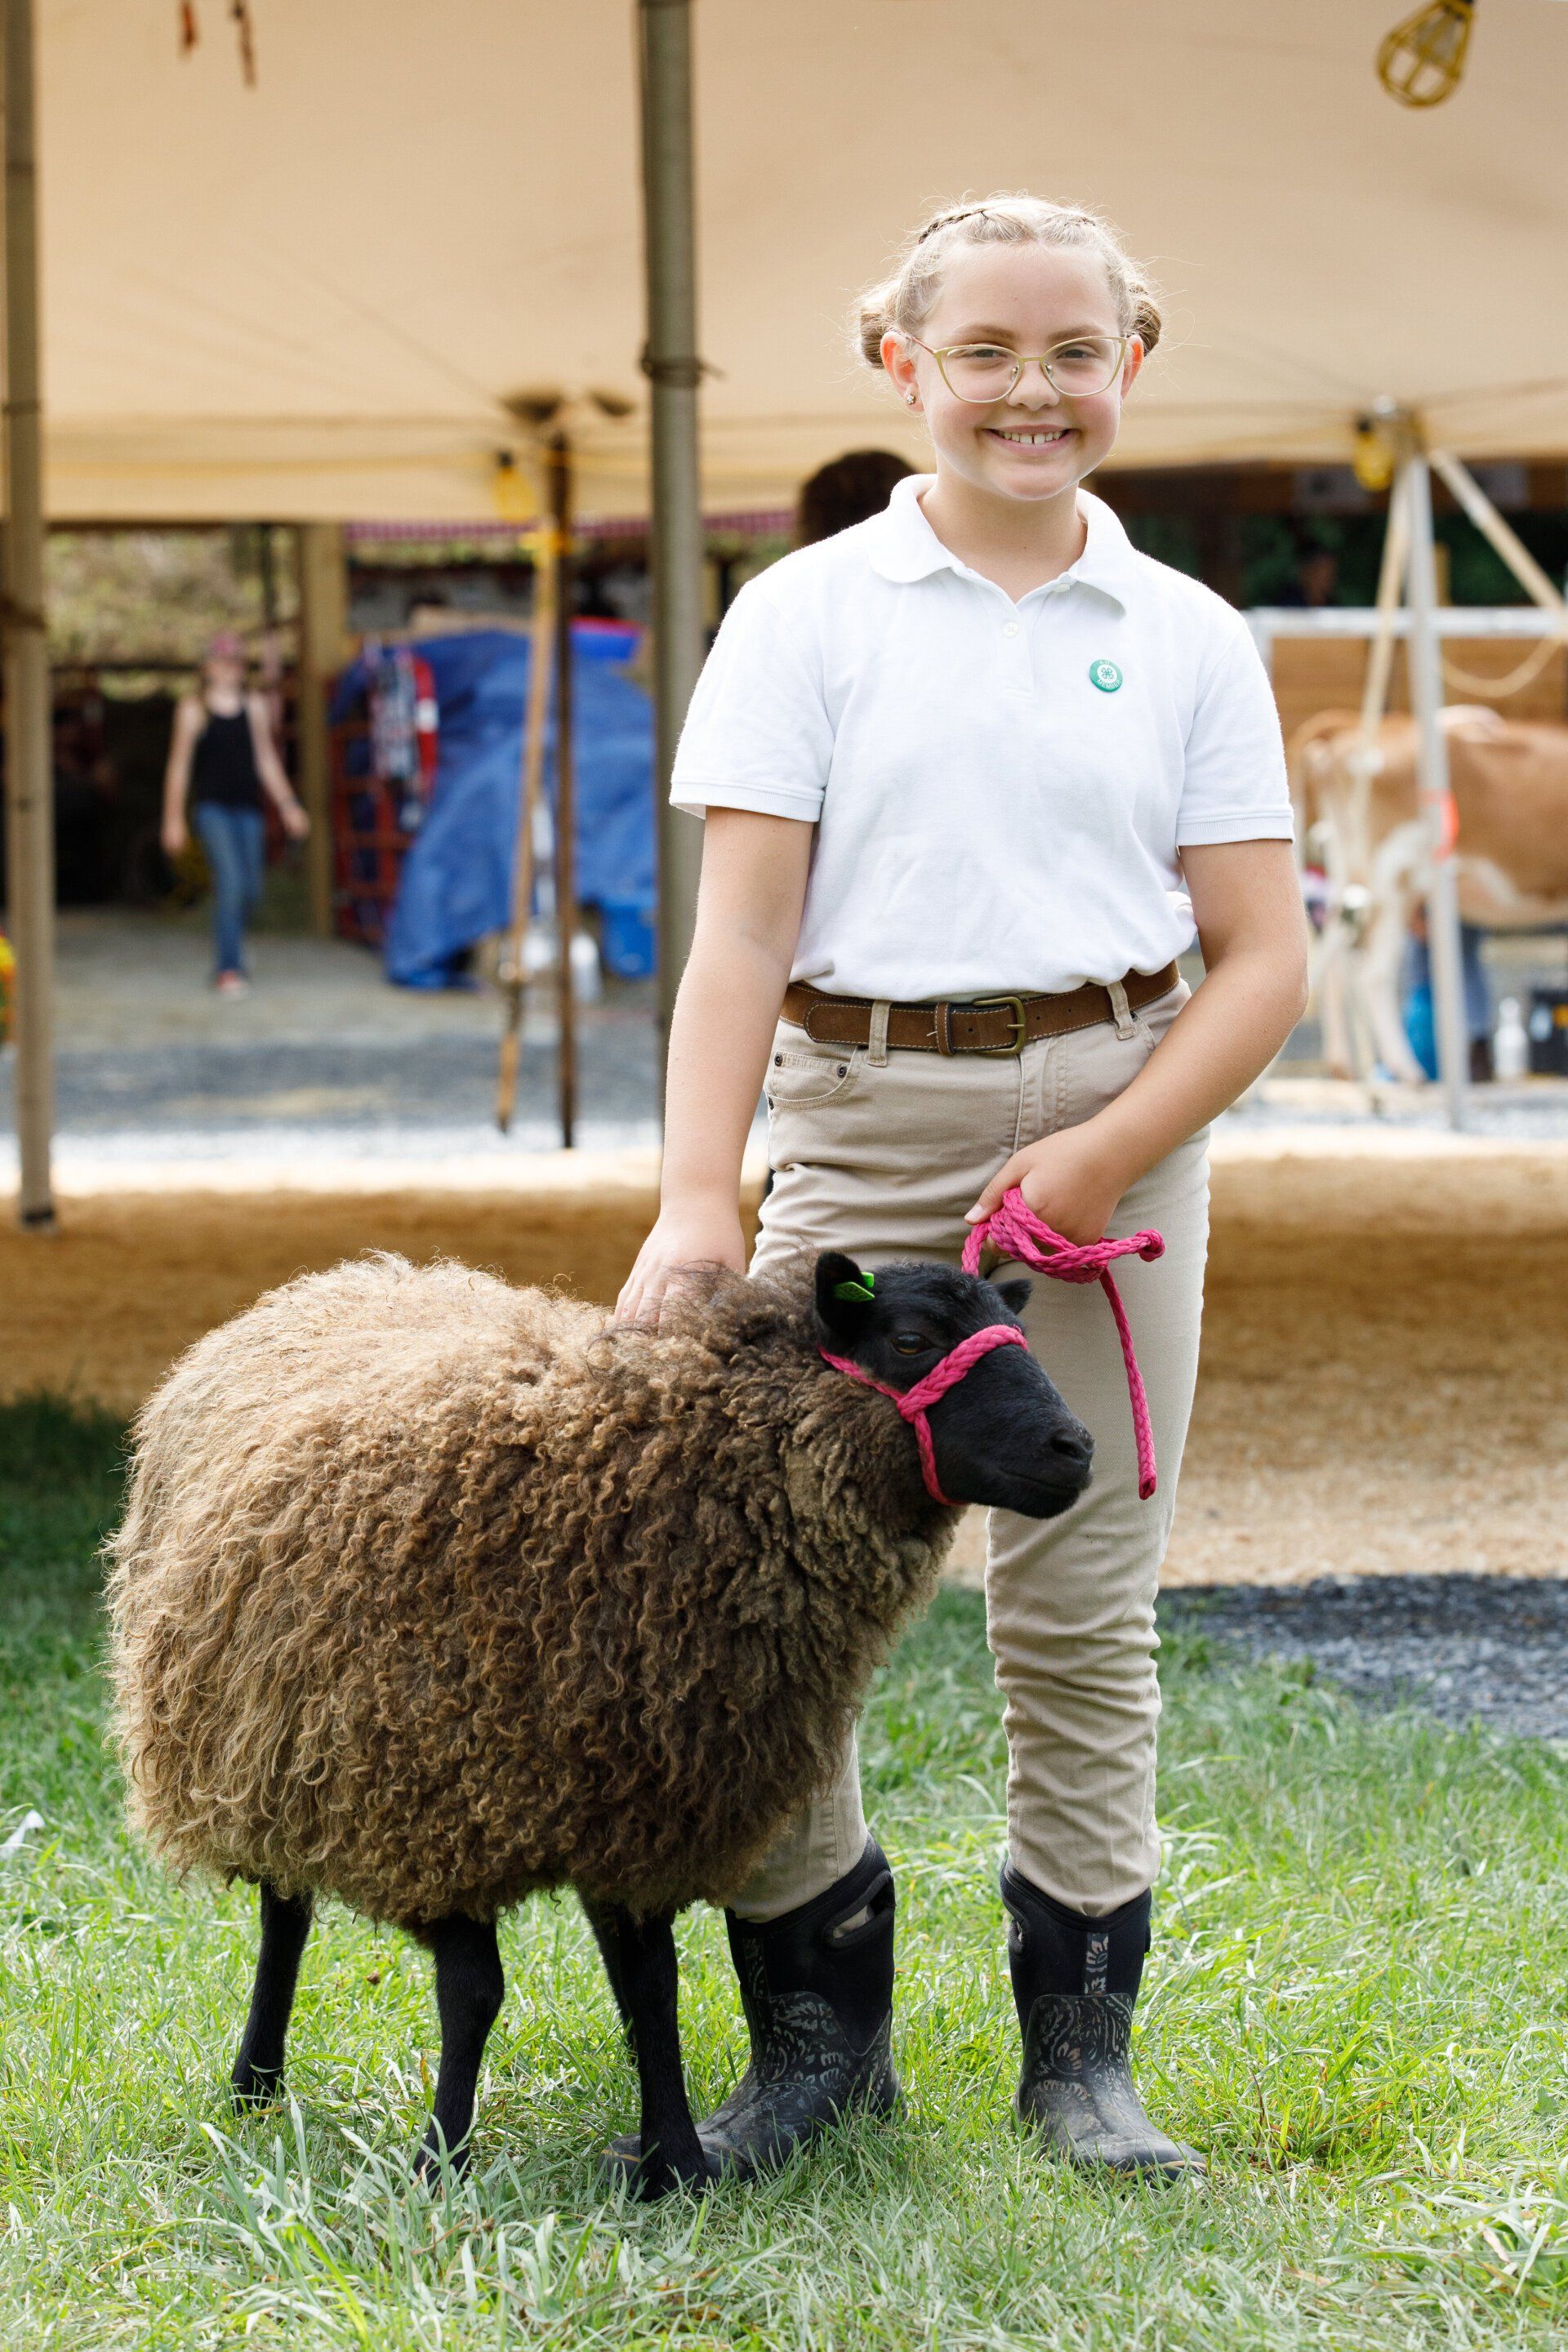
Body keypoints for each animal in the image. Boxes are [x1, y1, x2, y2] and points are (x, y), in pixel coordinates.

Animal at [107, 1246, 1093, 2196]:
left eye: (1014, 1328)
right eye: (912, 1341)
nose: (1077, 1447)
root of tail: (332, 1281)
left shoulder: (638, 1807)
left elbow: (652, 1990)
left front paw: (676, 2166)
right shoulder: (441, 1808)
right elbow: (474, 1993)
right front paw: (441, 2164)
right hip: (270, 1741)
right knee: (284, 1915)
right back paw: (255, 2082)